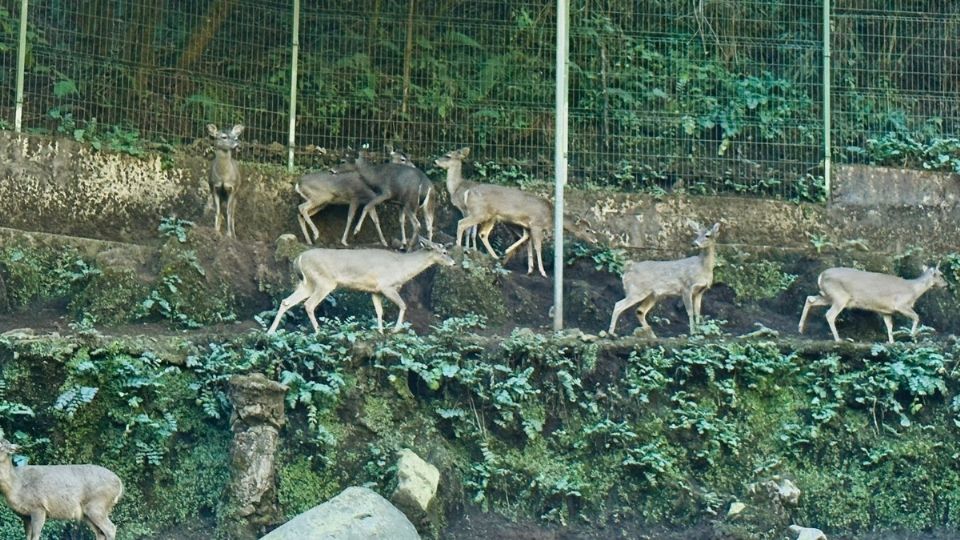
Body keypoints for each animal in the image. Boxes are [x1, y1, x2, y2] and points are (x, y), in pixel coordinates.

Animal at [264, 237, 456, 332]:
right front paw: (395, 331)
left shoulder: (375, 290)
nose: (454, 263)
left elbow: (379, 312)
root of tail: (299, 258)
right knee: (309, 304)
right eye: (444, 252)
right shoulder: (387, 286)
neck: (402, 268)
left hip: (307, 282)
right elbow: (403, 305)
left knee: (286, 301)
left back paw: (271, 331)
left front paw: (381, 332)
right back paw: (319, 332)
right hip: (324, 281)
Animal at [796, 264, 944, 344]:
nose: (946, 284)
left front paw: (891, 342)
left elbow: (889, 326)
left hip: (829, 296)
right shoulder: (901, 304)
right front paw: (912, 337)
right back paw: (838, 339)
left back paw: (800, 329)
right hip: (840, 296)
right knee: (829, 314)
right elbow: (916, 317)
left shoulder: (886, 311)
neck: (914, 290)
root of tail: (821, 275)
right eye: (941, 274)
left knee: (810, 299)